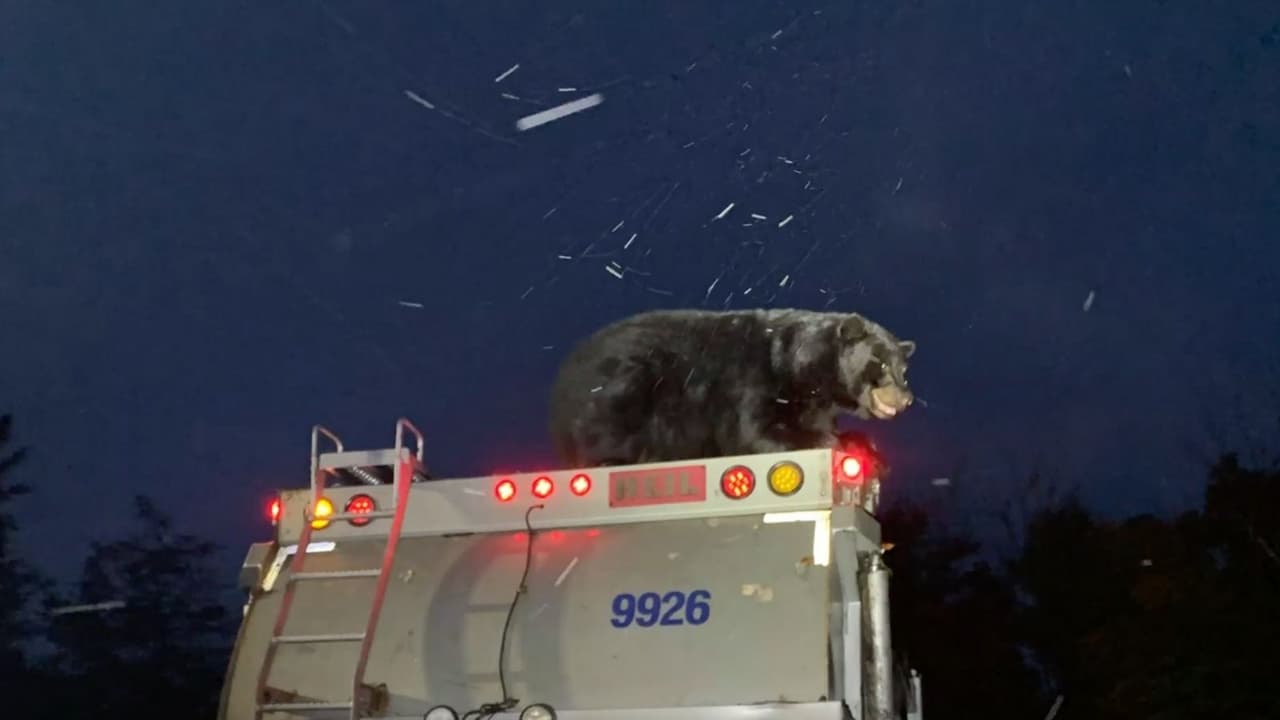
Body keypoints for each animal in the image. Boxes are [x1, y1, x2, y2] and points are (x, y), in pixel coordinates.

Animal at [547, 308, 916, 467]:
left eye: (904, 370)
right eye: (880, 363)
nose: (906, 398)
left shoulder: (813, 406)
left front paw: (860, 443)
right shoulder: (751, 380)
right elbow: (753, 432)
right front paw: (830, 442)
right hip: (620, 392)